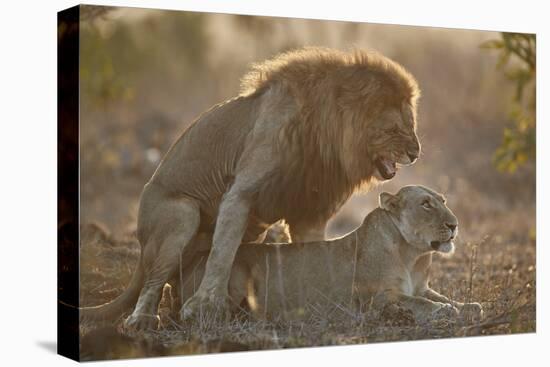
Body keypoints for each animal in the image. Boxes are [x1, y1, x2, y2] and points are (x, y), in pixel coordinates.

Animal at [81, 46, 422, 330]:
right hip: (182, 213)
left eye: (412, 126)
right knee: (153, 280)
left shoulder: (311, 212)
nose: (416, 152)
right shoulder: (240, 193)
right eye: (394, 129)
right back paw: (142, 320)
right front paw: (204, 307)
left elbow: (313, 253)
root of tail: (140, 248)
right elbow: (222, 253)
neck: (324, 134)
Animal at [180, 185, 484, 324]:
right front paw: (447, 311)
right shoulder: (377, 298)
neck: (413, 256)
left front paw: (468, 306)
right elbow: (423, 304)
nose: (454, 225)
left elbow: (446, 299)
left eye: (443, 201)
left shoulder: (422, 287)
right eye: (426, 204)